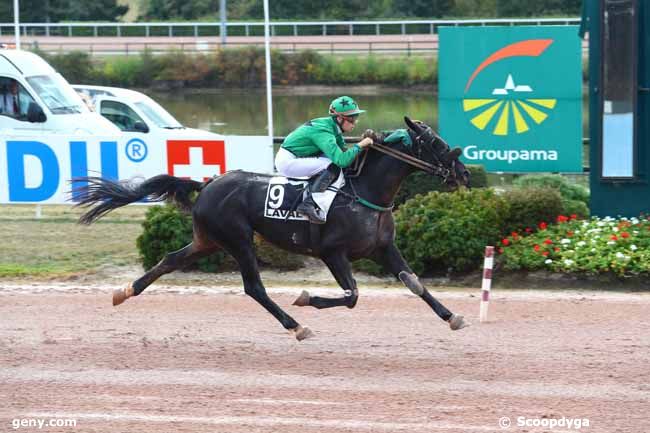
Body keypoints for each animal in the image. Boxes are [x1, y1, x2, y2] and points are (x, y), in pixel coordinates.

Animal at [76, 116, 468, 340]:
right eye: (434, 143)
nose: (463, 173)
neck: (364, 192)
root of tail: (207, 184)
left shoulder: (383, 247)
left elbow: (414, 283)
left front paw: (452, 317)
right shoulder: (331, 252)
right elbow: (352, 295)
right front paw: (307, 298)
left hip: (208, 240)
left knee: (169, 259)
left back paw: (124, 291)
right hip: (238, 239)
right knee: (254, 287)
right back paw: (296, 325)